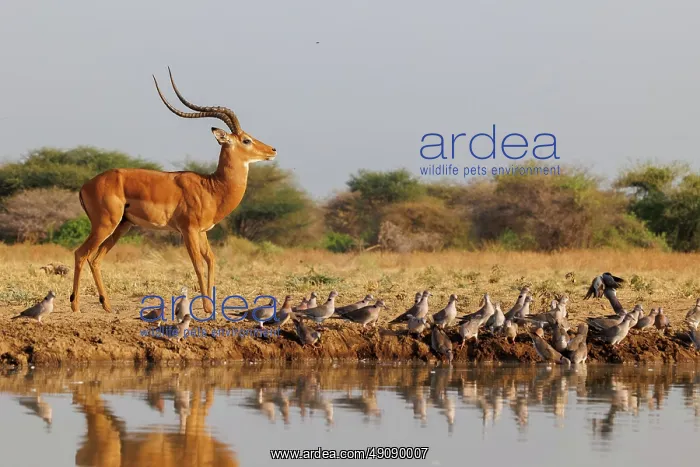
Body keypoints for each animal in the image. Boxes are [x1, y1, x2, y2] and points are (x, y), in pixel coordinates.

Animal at [70, 68, 277, 314]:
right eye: (246, 140)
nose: (272, 150)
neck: (212, 187)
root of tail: (86, 185)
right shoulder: (188, 230)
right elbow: (198, 264)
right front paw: (205, 308)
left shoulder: (202, 232)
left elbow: (211, 260)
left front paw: (211, 307)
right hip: (105, 224)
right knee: (81, 253)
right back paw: (75, 306)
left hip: (121, 226)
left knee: (95, 259)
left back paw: (107, 306)